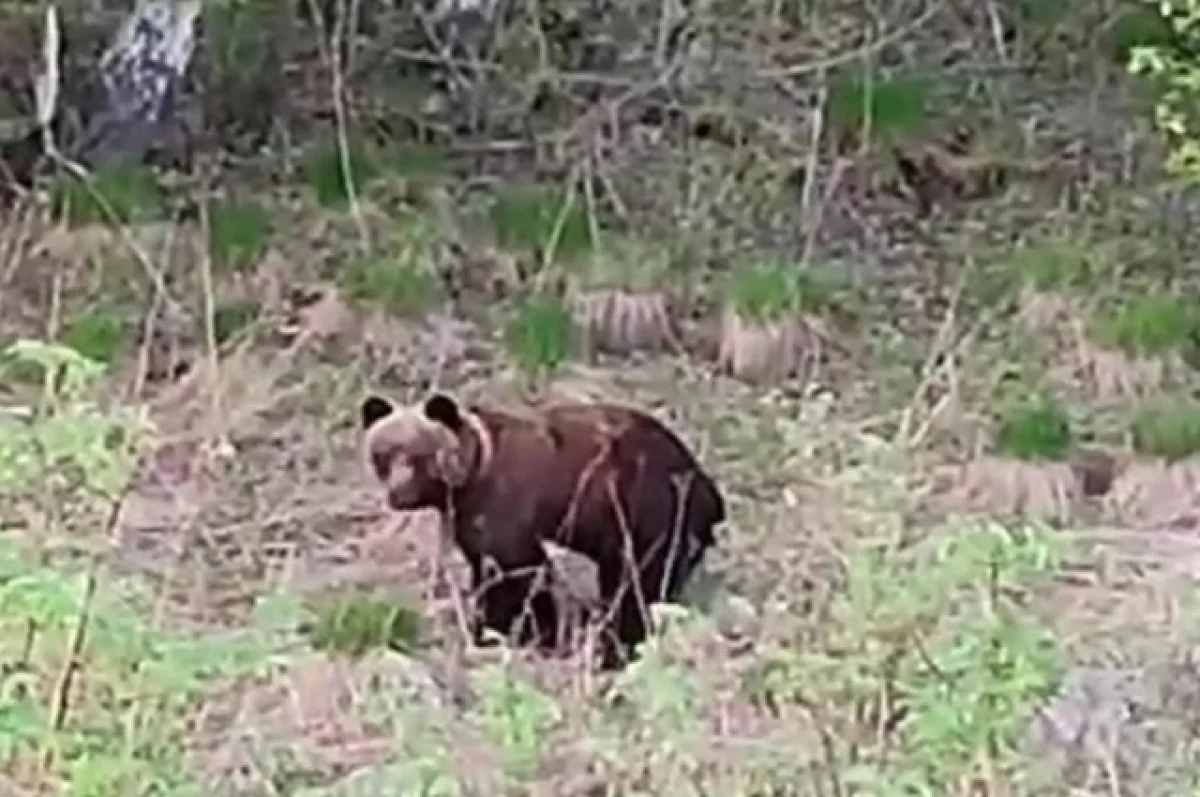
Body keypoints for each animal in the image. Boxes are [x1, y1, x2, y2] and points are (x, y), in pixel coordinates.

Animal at [355, 391, 724, 667]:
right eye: (383, 453)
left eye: (418, 456)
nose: (399, 494)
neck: (471, 475)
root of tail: (707, 487)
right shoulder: (469, 519)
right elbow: (487, 567)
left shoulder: (505, 504)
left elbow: (519, 571)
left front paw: (524, 633)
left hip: (647, 507)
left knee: (637, 584)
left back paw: (616, 647)